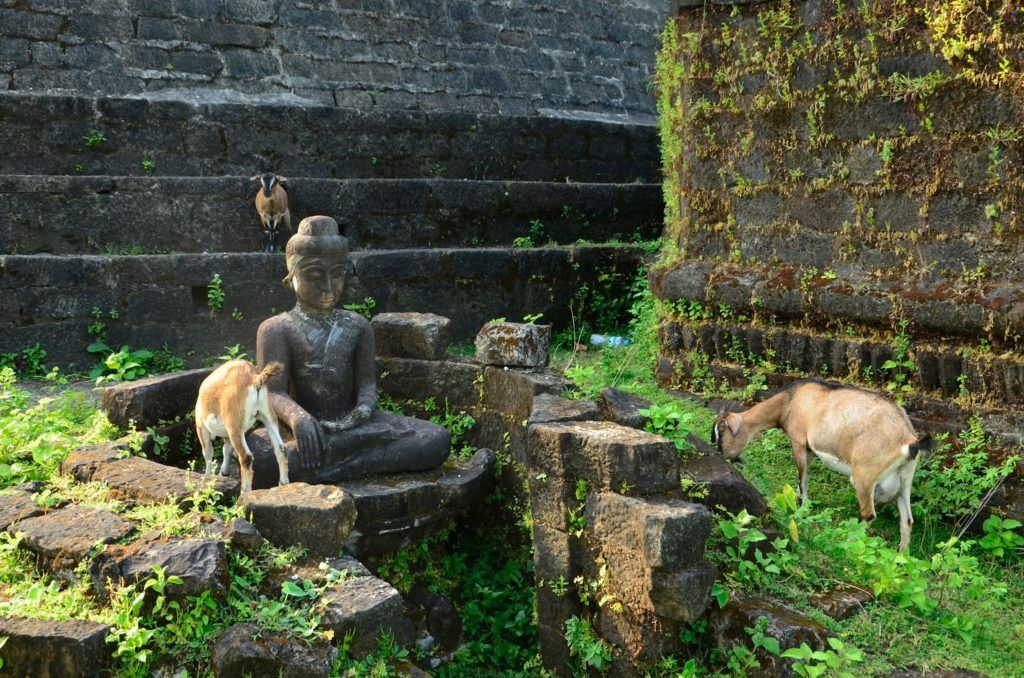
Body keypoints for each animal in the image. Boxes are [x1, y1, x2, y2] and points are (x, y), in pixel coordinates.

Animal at [193, 360, 288, 493]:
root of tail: (254, 378)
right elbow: (226, 449)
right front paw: (224, 472)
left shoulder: (201, 427)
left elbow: (208, 452)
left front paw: (208, 477)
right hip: (267, 416)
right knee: (281, 448)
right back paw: (283, 483)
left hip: (235, 426)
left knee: (246, 457)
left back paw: (245, 492)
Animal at [712, 383, 929, 553]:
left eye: (721, 431)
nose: (721, 455)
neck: (791, 401)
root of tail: (908, 440)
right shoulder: (809, 449)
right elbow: (799, 483)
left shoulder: (799, 442)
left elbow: (803, 479)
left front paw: (802, 510)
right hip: (904, 481)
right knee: (907, 521)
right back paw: (900, 557)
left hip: (864, 477)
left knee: (868, 514)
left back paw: (848, 544)